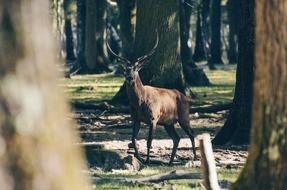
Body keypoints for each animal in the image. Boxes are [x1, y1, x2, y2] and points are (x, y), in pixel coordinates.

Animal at [107, 34, 197, 165]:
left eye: (136, 69)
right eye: (125, 70)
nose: (129, 77)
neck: (140, 102)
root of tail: (185, 97)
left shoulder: (153, 118)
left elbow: (149, 142)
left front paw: (148, 160)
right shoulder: (136, 119)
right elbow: (133, 139)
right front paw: (139, 158)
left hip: (183, 116)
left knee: (191, 133)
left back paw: (194, 157)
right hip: (168, 123)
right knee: (177, 138)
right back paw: (170, 162)